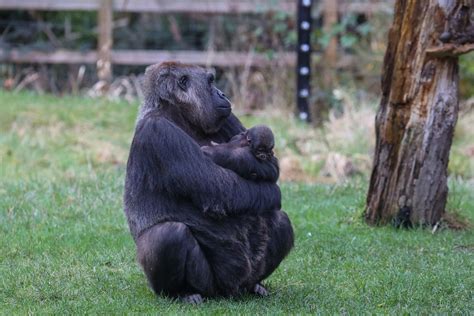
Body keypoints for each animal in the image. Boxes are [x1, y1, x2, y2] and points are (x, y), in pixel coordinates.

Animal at [123, 62, 292, 304]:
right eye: (210, 82)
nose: (223, 93)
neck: (177, 112)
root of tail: (230, 292)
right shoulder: (157, 131)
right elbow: (220, 190)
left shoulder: (227, 118)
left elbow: (271, 165)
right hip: (209, 286)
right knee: (168, 234)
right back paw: (183, 293)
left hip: (242, 280)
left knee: (280, 220)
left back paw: (255, 286)